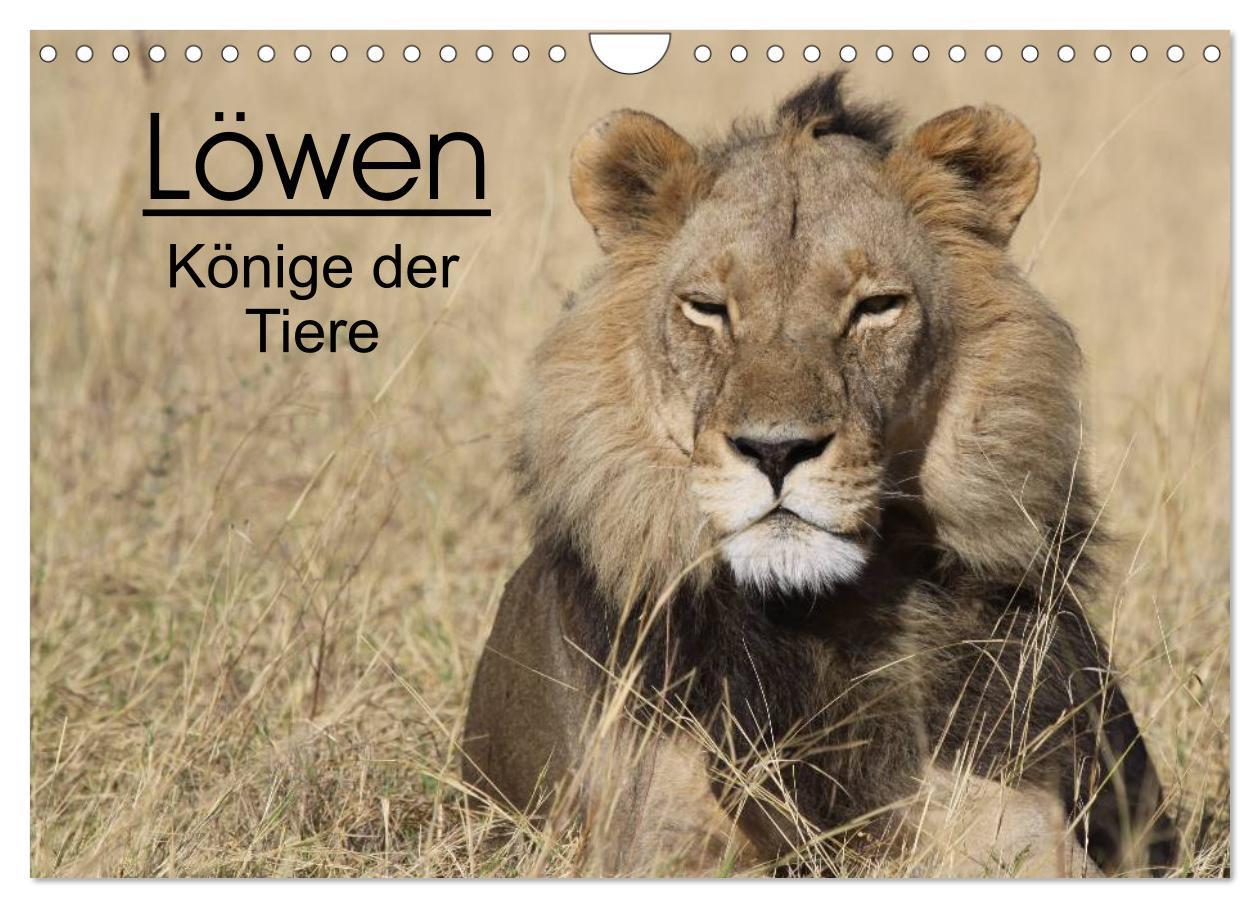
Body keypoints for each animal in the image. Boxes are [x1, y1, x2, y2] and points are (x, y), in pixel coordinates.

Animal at [462, 73, 1177, 878]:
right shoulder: (650, 835)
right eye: (707, 310)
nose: (776, 451)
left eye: (875, 307)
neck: (816, 620)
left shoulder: (1018, 823)